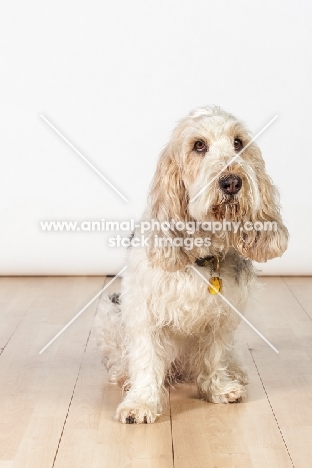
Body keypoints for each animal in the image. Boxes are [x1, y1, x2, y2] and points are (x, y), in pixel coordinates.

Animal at [96, 106, 288, 424]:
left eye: (238, 143)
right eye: (199, 145)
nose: (232, 182)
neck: (204, 253)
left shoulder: (223, 314)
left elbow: (214, 354)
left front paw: (218, 388)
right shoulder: (144, 312)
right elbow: (146, 358)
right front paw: (140, 403)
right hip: (110, 313)